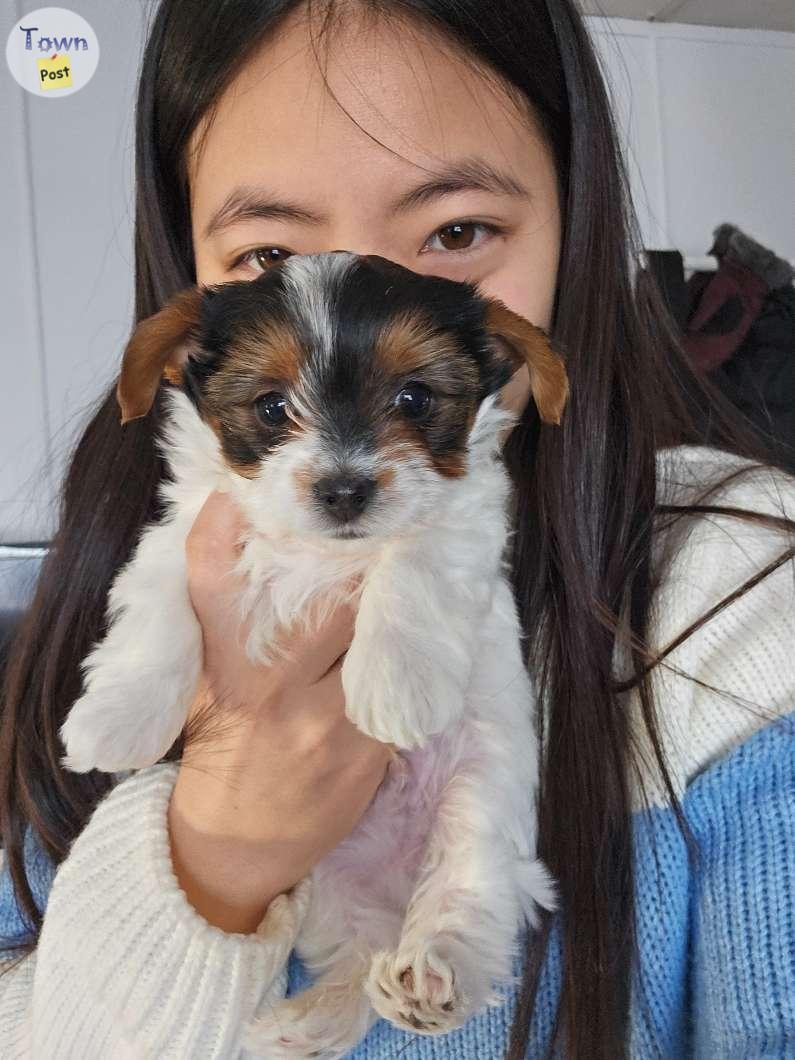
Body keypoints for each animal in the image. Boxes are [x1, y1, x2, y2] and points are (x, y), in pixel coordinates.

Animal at [59, 250, 568, 1060]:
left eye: (415, 397)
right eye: (271, 407)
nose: (345, 489)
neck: (322, 552)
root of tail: (395, 886)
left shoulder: (462, 523)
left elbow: (414, 555)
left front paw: (396, 682)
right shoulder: (181, 539)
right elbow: (162, 611)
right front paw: (118, 718)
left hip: (481, 801)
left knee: (468, 897)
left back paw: (432, 976)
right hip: (325, 880)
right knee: (356, 956)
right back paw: (304, 1023)